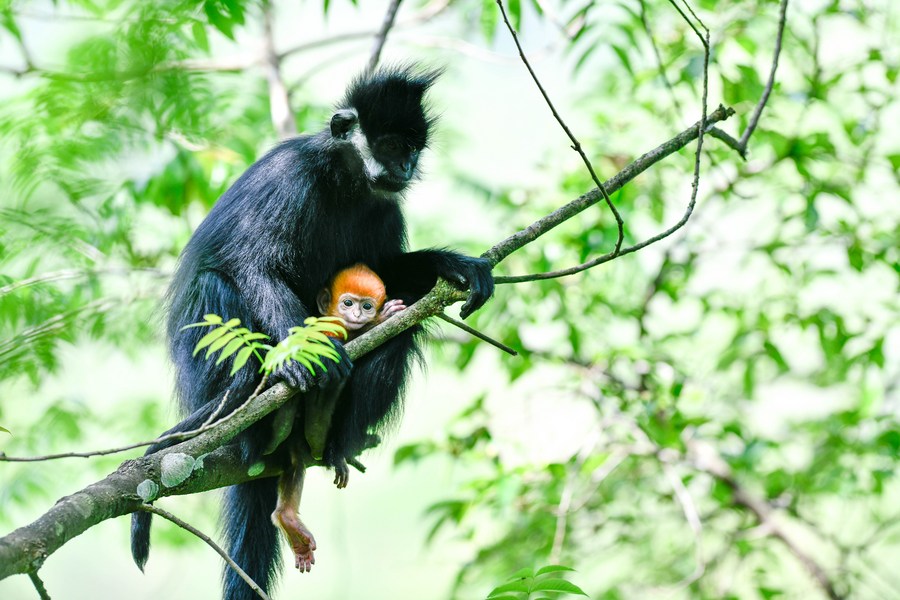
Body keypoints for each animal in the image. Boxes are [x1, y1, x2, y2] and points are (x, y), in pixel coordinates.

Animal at [129, 65, 492, 600]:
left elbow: (388, 277)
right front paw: (303, 355)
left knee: (400, 335)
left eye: (413, 148)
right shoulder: (291, 178)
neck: (346, 181)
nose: (405, 167)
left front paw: (455, 264)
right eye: (389, 145)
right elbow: (255, 263)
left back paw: (333, 442)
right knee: (217, 282)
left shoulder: (386, 209)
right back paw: (258, 420)